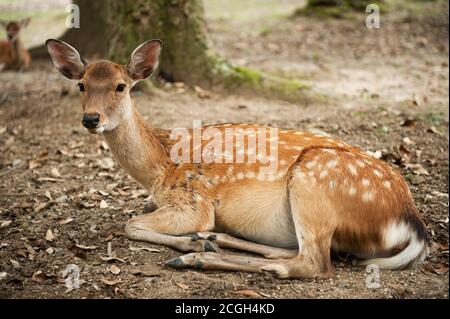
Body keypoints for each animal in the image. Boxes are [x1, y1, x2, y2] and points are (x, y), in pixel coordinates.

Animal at [44, 38, 428, 280]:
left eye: (121, 86)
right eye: (81, 85)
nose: (91, 119)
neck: (159, 168)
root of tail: (411, 222)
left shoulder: (193, 200)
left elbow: (132, 224)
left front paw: (189, 239)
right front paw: (197, 238)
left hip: (314, 181)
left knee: (314, 263)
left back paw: (197, 255)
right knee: (301, 252)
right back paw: (214, 242)